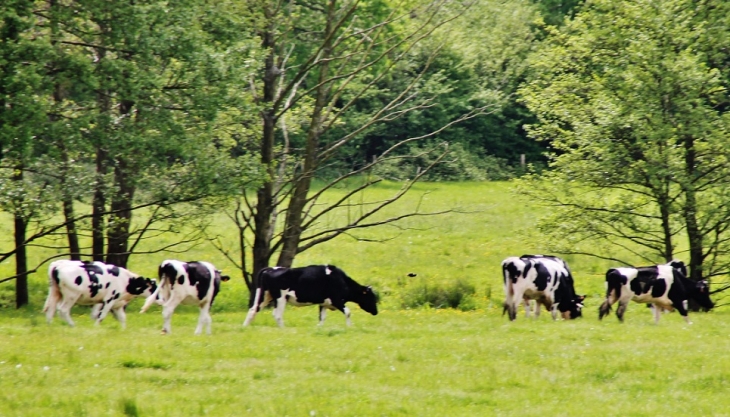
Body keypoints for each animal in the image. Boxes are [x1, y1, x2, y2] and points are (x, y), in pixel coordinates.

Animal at [245, 264, 378, 326]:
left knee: (253, 309)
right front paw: (350, 327)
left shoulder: (323, 303)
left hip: (265, 295)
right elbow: (348, 312)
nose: (376, 312)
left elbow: (322, 318)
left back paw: (245, 327)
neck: (341, 280)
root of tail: (270, 269)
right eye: (371, 298)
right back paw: (284, 329)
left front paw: (319, 329)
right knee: (277, 315)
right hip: (280, 298)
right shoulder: (337, 300)